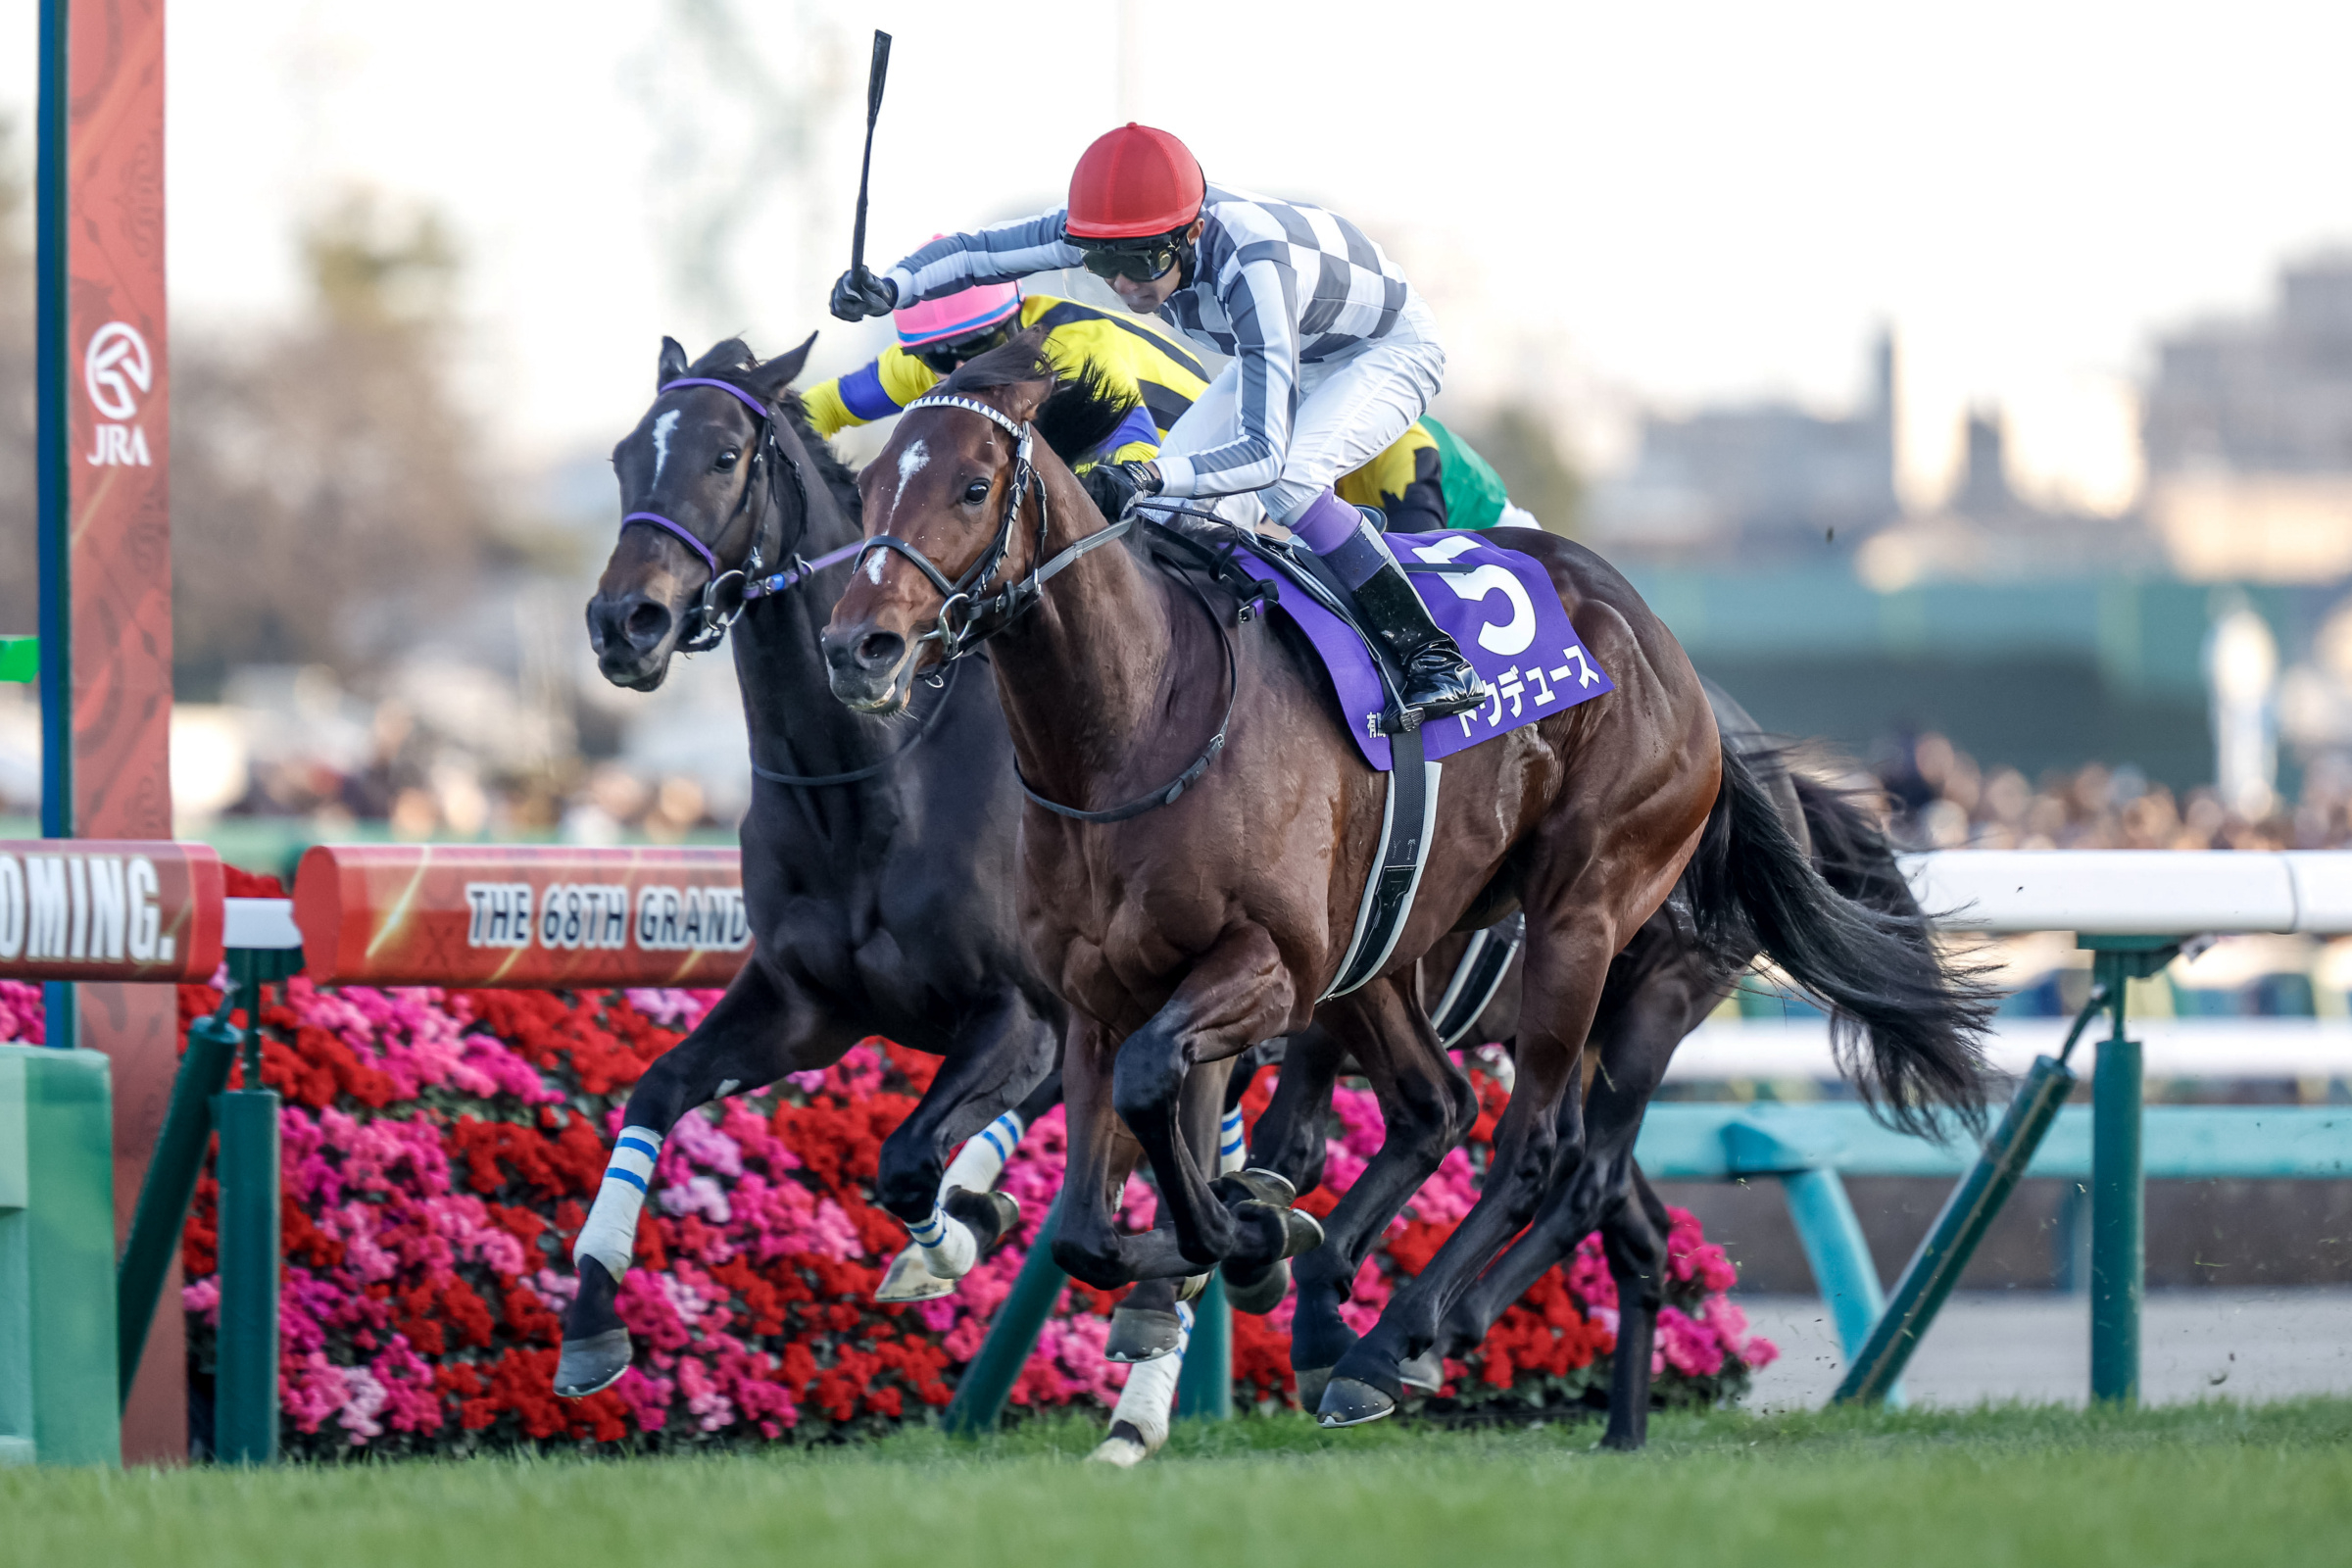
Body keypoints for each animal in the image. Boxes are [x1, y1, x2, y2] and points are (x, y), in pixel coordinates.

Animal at [819, 333, 1989, 1431]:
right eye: (869, 490)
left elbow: (1168, 1097)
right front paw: (1237, 1243)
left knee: (1545, 1150)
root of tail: (1673, 658)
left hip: (1592, 932)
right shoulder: (1095, 994)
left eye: (974, 486)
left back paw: (1401, 1341)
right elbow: (1085, 1231)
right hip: (1390, 946)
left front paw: (1247, 1235)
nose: (859, 648)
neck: (1138, 721)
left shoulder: (1271, 967)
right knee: (1450, 1109)